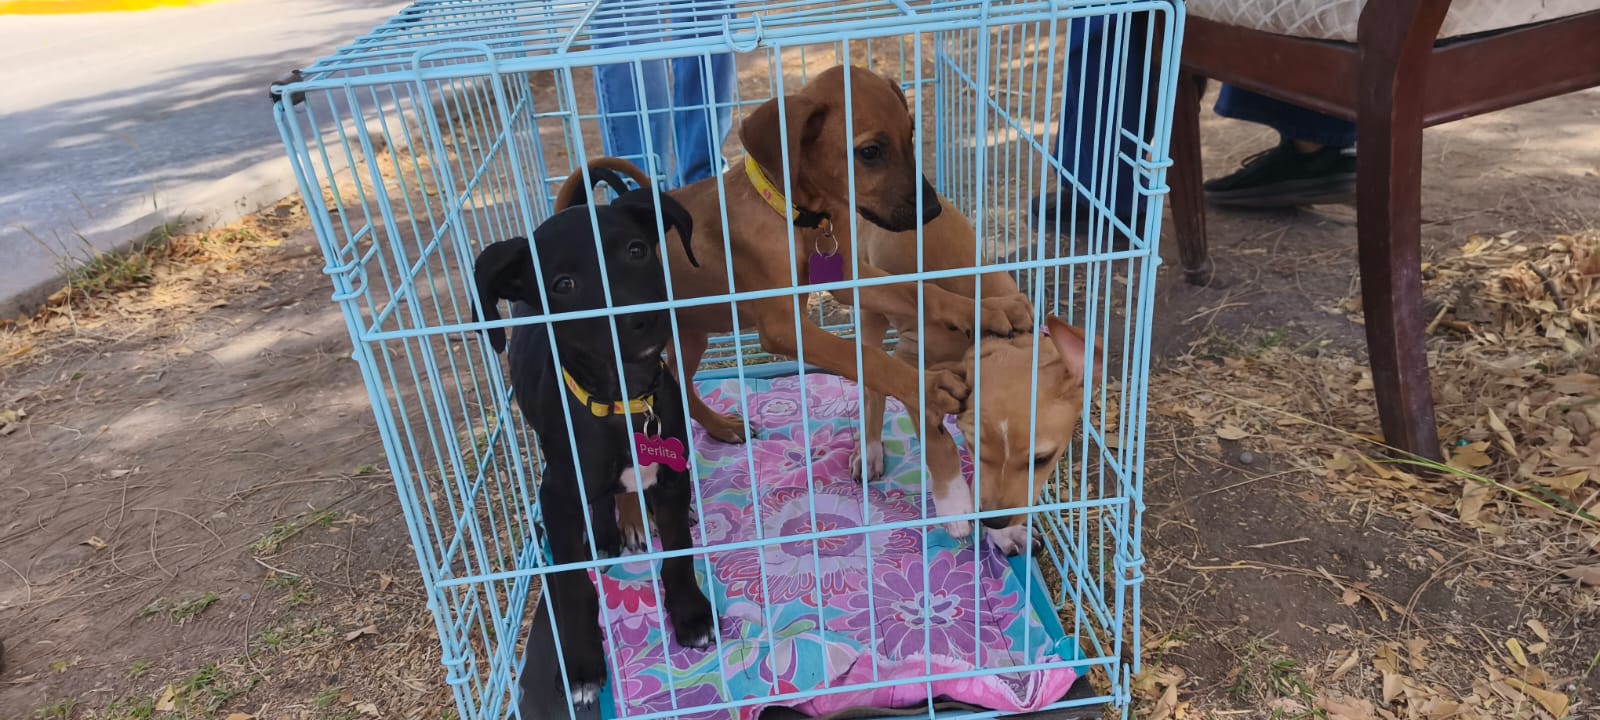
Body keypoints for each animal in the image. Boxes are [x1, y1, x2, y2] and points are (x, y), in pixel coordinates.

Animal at [472, 164, 714, 709]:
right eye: (563, 284)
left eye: (637, 250)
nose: (639, 319)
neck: (623, 401)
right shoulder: (558, 498)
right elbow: (572, 590)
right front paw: (582, 666)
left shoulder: (671, 475)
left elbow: (678, 552)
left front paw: (690, 614)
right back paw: (603, 538)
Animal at [851, 200, 1101, 556]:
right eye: (972, 445)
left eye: (1042, 459)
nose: (996, 522)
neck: (999, 335)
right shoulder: (911, 370)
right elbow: (938, 443)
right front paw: (954, 504)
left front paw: (1005, 534)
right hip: (868, 302)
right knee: (871, 386)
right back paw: (869, 450)